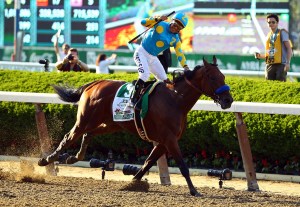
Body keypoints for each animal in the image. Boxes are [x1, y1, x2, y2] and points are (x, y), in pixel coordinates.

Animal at [38, 56, 233, 196]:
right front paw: (194, 191)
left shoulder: (164, 141)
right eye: (213, 77)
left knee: (89, 134)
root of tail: (94, 83)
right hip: (85, 120)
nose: (228, 100)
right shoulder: (169, 139)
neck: (175, 99)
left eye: (223, 76)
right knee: (69, 137)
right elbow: (182, 166)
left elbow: (148, 162)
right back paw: (45, 160)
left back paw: (73, 157)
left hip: (110, 124)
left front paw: (132, 182)